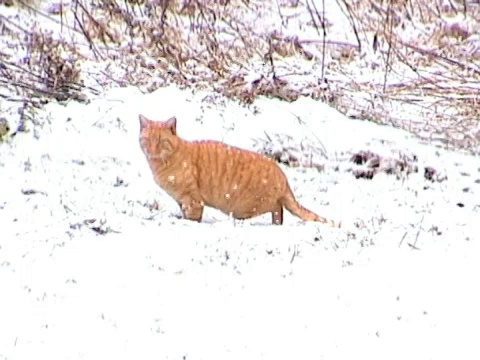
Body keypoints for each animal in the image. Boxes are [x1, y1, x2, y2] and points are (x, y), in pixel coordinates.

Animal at [137, 114, 336, 225]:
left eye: (161, 141)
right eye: (147, 140)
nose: (151, 150)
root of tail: (283, 176)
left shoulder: (192, 199)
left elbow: (193, 216)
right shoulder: (182, 200)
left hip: (250, 206)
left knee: (278, 208)